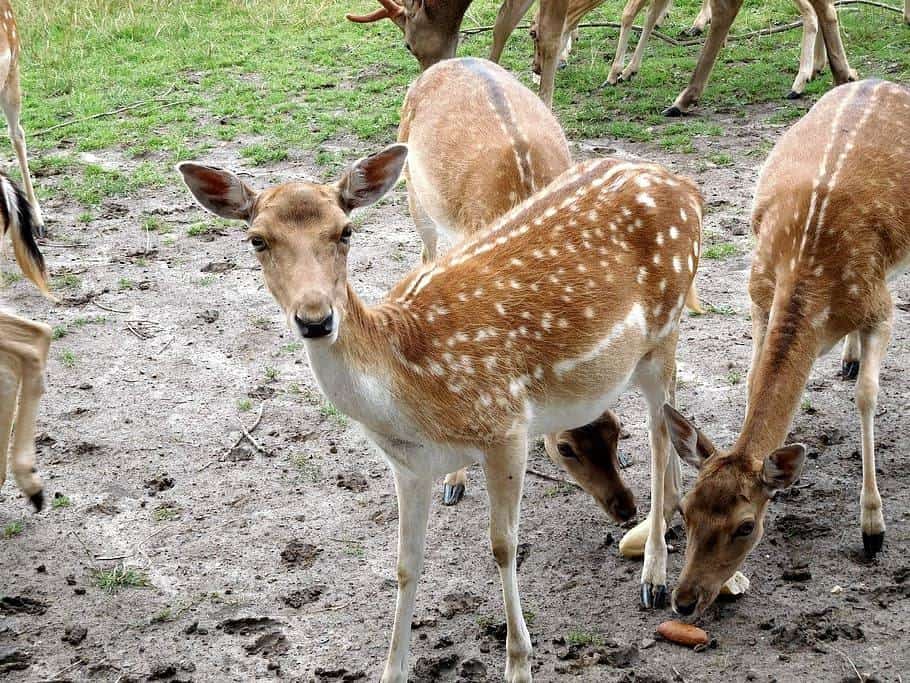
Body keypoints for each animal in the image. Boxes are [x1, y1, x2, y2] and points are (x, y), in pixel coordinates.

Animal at [180, 146, 704, 680]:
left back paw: (654, 574)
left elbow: (502, 546)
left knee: (659, 432)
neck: (412, 396)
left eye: (345, 231)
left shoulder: (506, 426)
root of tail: (687, 186)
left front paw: (519, 664)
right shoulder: (408, 464)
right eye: (257, 239)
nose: (316, 318)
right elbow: (405, 562)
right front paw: (392, 670)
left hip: (664, 331)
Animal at [664, 81, 910, 620]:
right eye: (685, 510)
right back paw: (847, 358)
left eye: (745, 525)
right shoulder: (758, 295)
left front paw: (873, 530)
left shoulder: (880, 306)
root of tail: (880, 81)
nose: (685, 600)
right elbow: (752, 379)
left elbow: (867, 397)